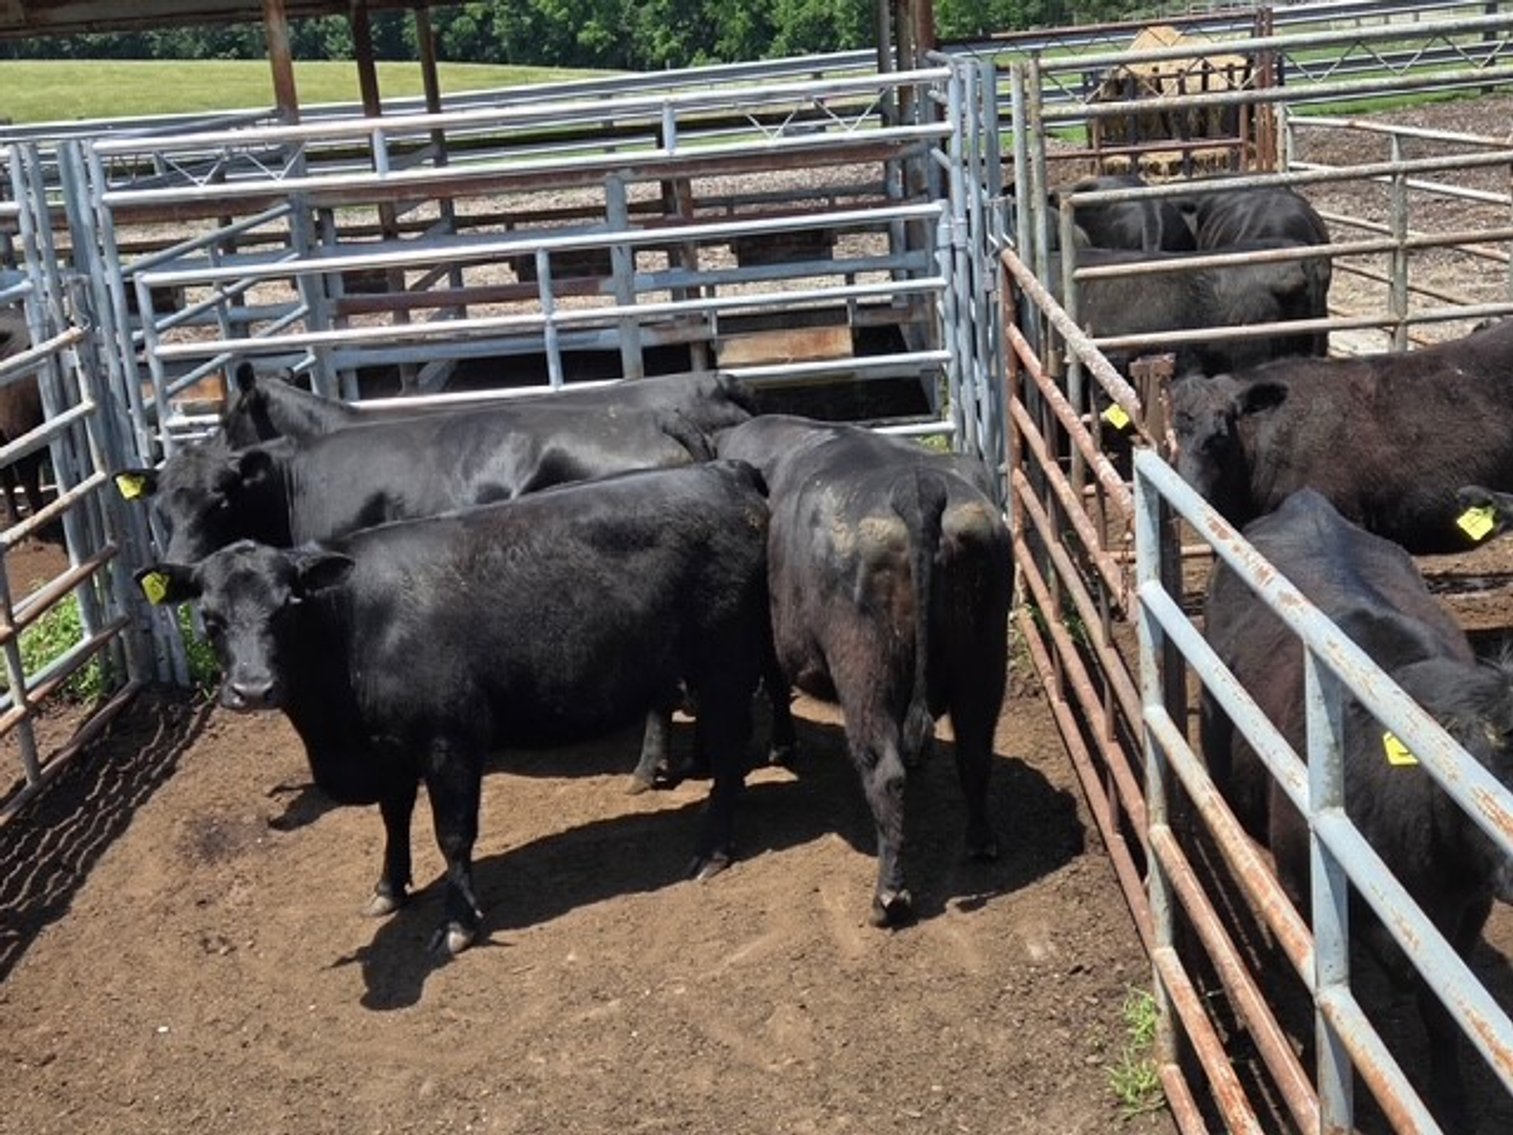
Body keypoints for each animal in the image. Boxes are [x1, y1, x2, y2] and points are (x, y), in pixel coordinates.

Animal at [135, 461, 773, 956]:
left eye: (289, 603)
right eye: (210, 618)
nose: (252, 688)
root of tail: (723, 471)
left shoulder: (450, 738)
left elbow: (454, 833)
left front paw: (458, 923)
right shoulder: (389, 751)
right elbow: (393, 818)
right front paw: (389, 888)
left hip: (725, 663)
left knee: (733, 748)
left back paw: (712, 850)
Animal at [715, 414, 1013, 927]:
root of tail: (918, 488)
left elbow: (776, 684)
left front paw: (782, 745)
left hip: (864, 671)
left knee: (885, 773)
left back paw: (889, 897)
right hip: (984, 660)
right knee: (974, 753)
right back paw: (980, 843)